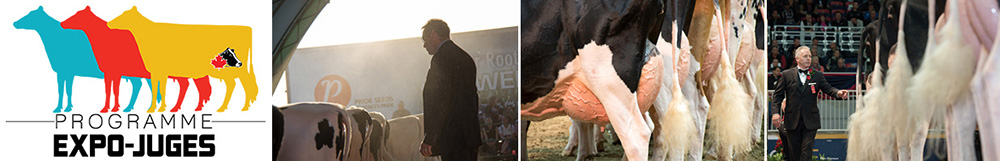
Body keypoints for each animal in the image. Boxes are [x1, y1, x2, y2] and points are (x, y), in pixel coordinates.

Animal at [60, 5, 213, 112]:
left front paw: (113, 108)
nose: (62, 23)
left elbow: (115, 90)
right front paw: (108, 108)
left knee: (192, 86)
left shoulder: (116, 72)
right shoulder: (109, 73)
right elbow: (109, 90)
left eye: (78, 15)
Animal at [107, 6, 256, 113]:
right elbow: (159, 88)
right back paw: (241, 106)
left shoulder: (159, 71)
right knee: (241, 83)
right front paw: (158, 108)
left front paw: (156, 109)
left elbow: (160, 89)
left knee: (237, 83)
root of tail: (246, 28)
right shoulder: (159, 72)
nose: (109, 23)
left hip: (230, 69)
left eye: (124, 15)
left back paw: (231, 107)